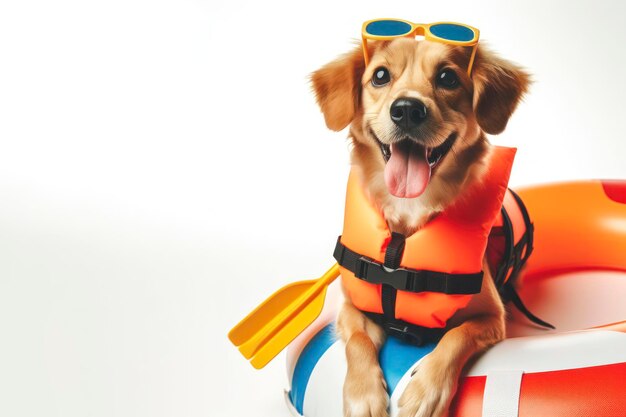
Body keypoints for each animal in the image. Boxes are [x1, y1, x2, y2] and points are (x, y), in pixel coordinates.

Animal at [310, 36, 528, 416]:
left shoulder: (492, 318)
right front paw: (363, 394)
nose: (408, 109)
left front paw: (425, 391)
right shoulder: (351, 307)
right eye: (380, 75)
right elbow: (358, 340)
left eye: (448, 78)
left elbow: (456, 336)